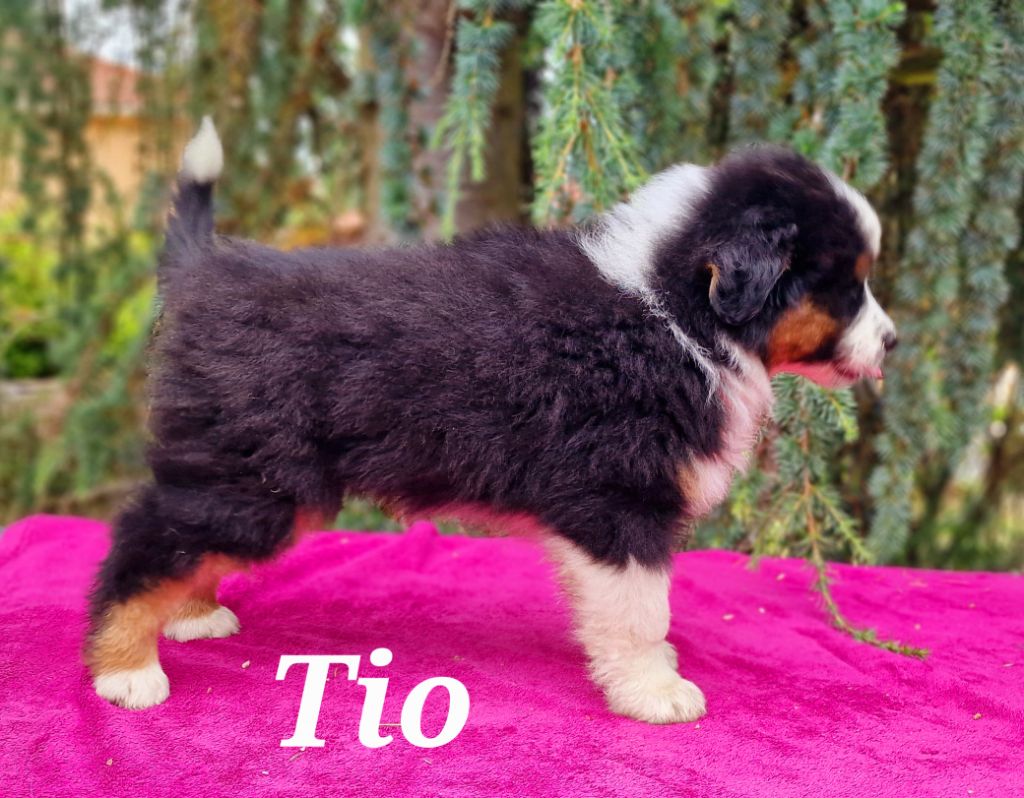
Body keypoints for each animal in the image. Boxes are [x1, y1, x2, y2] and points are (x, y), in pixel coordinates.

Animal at [85, 117, 897, 722]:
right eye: (846, 284)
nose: (891, 341)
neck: (677, 310)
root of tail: (207, 273)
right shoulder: (620, 499)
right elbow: (641, 608)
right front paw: (655, 692)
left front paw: (652, 673)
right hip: (256, 476)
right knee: (143, 540)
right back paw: (126, 670)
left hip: (242, 473)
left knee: (180, 535)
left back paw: (192, 613)